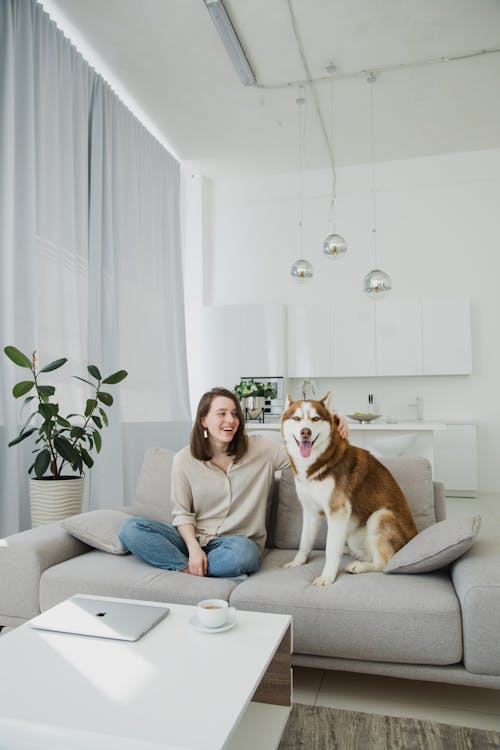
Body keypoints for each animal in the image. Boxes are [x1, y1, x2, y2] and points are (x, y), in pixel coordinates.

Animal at [282, 394, 418, 588]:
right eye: (296, 418)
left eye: (315, 418)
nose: (305, 432)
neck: (320, 462)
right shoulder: (311, 511)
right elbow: (304, 542)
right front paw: (297, 562)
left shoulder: (338, 511)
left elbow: (330, 550)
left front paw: (327, 576)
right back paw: (349, 552)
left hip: (380, 516)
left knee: (384, 563)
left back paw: (359, 566)